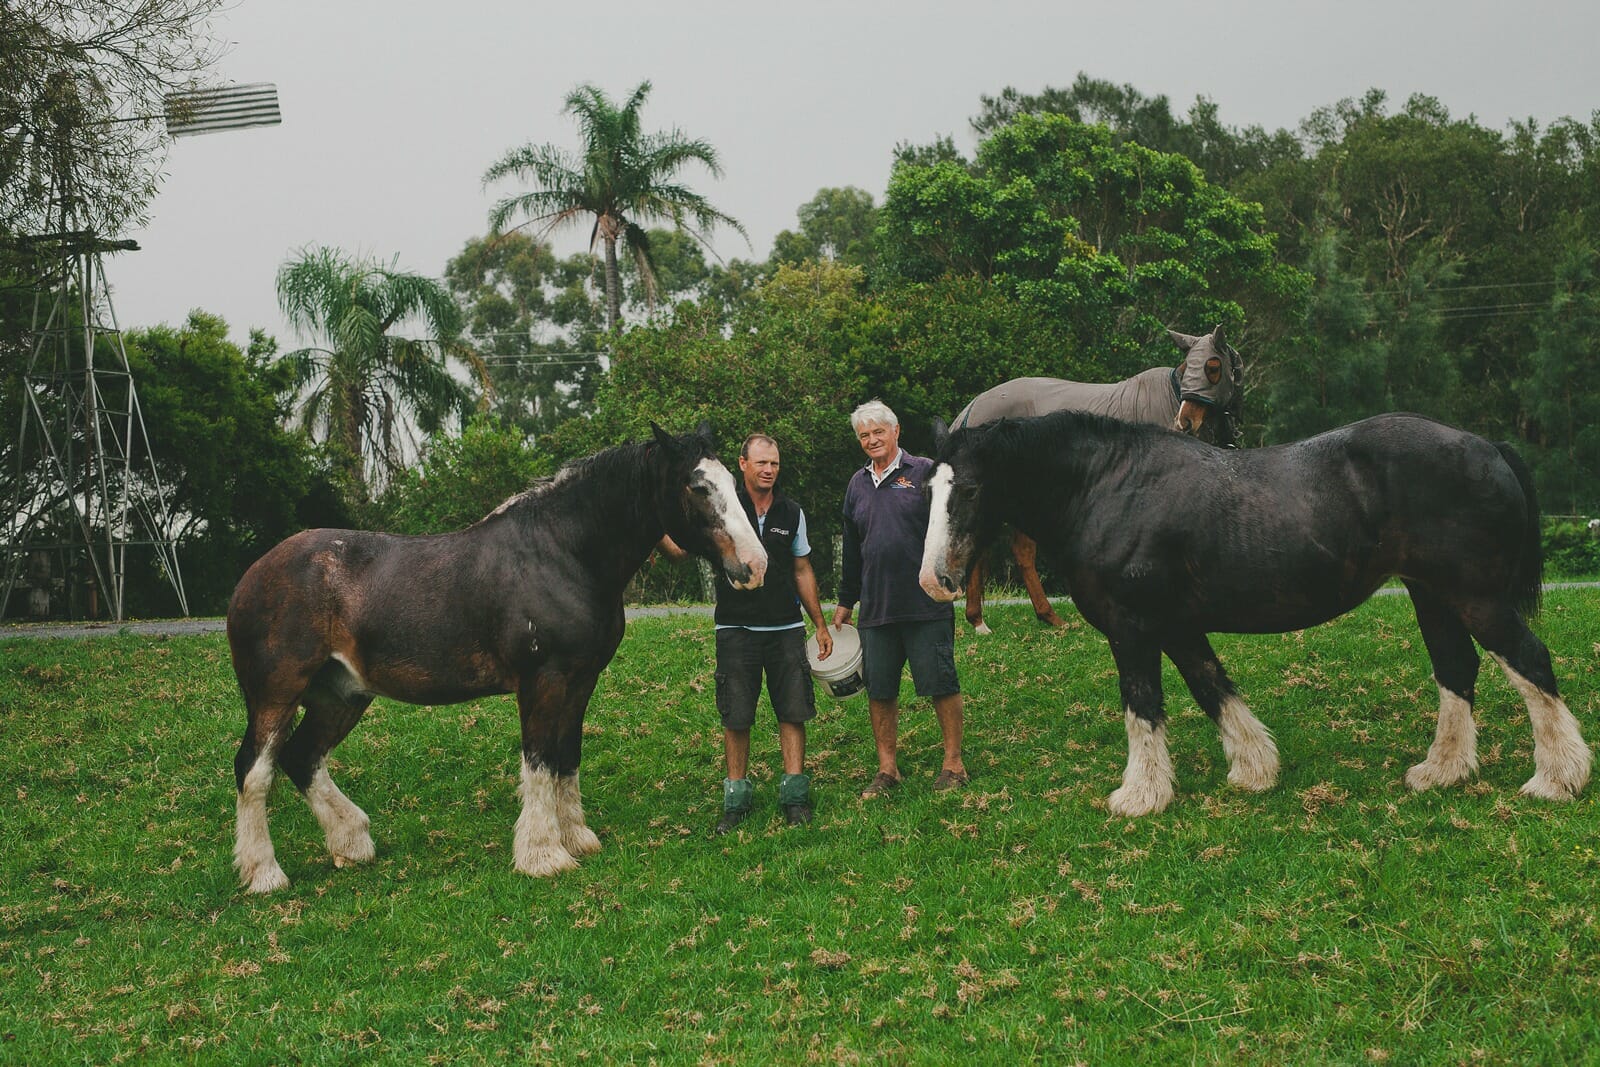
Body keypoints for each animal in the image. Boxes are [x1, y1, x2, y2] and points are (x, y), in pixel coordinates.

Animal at [227, 425, 768, 895]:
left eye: (732, 482)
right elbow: (540, 760)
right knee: (254, 769)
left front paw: (577, 839)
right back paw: (264, 874)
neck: (563, 553)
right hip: (277, 695)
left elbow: (566, 755)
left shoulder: (581, 680)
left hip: (340, 696)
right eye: (697, 487)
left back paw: (352, 842)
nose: (755, 566)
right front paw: (542, 855)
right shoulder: (543, 681)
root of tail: (252, 576)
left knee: (302, 758)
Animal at [921, 412, 1593, 819]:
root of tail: (1485, 446)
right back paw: (1442, 771)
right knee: (1457, 670)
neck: (1108, 487)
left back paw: (1557, 778)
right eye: (930, 488)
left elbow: (1143, 705)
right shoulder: (1178, 626)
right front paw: (1254, 770)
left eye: (971, 490)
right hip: (1433, 596)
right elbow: (1211, 687)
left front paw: (1139, 795)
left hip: (1475, 597)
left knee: (1530, 662)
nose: (936, 581)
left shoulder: (1134, 628)